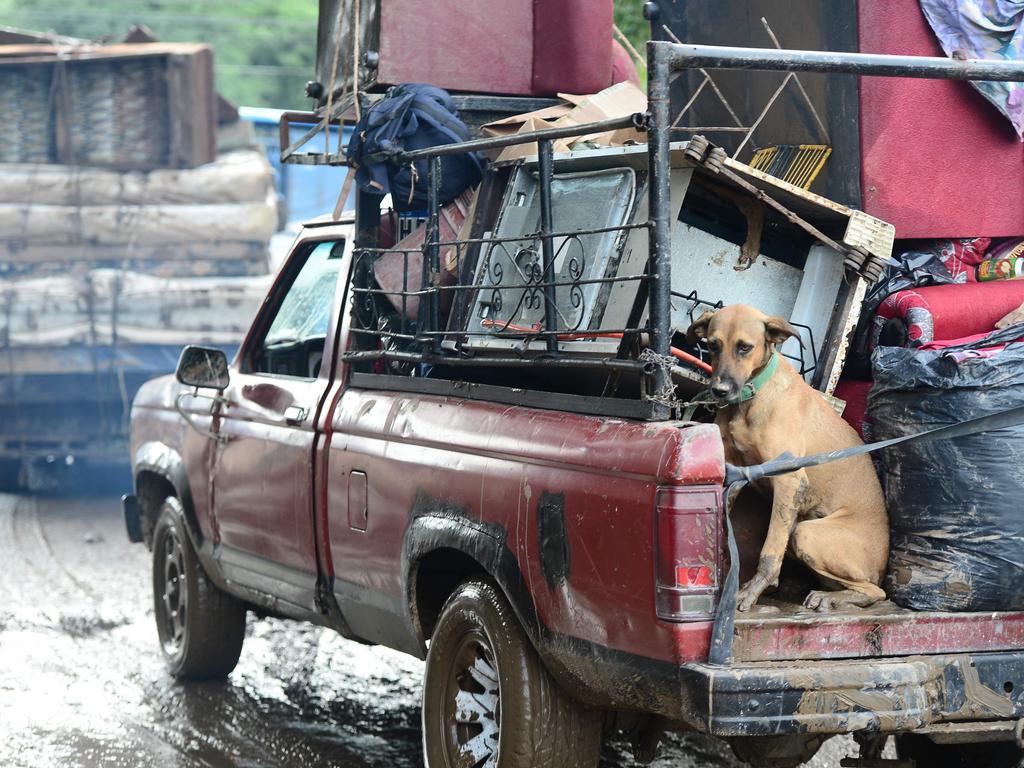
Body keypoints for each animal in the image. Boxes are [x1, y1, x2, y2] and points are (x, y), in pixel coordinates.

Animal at [688, 305, 888, 614]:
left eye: (745, 347)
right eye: (712, 345)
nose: (719, 391)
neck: (753, 396)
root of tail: (883, 565)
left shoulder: (789, 482)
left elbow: (770, 553)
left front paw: (749, 593)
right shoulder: (733, 474)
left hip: (807, 534)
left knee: (875, 591)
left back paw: (830, 597)